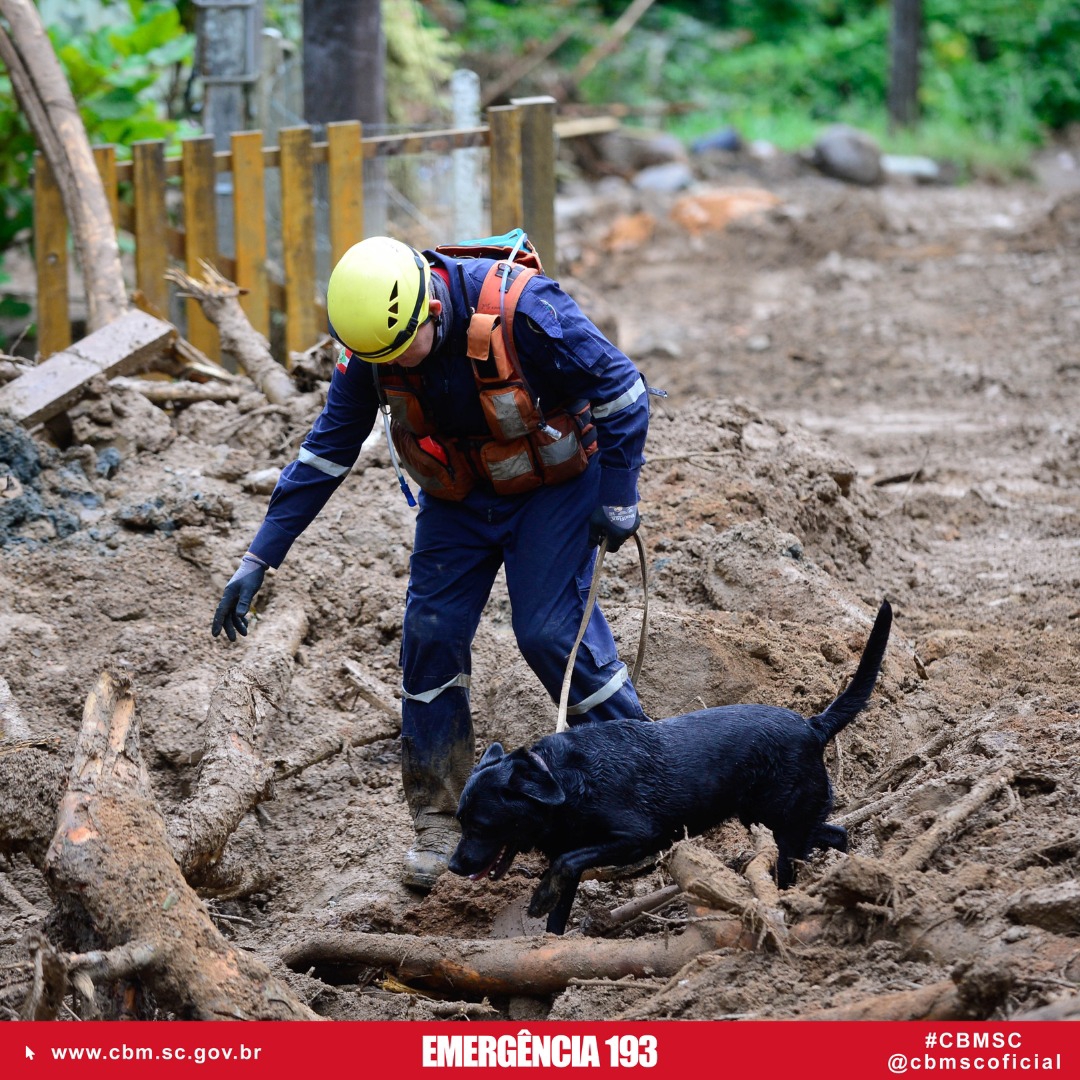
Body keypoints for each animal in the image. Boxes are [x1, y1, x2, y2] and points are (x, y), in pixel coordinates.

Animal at [449, 604, 894, 933]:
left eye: (482, 825)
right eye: (461, 821)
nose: (454, 866)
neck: (564, 780)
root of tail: (814, 726)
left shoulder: (637, 836)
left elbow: (564, 864)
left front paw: (539, 899)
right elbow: (560, 902)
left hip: (785, 828)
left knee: (800, 859)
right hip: (779, 817)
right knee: (836, 833)